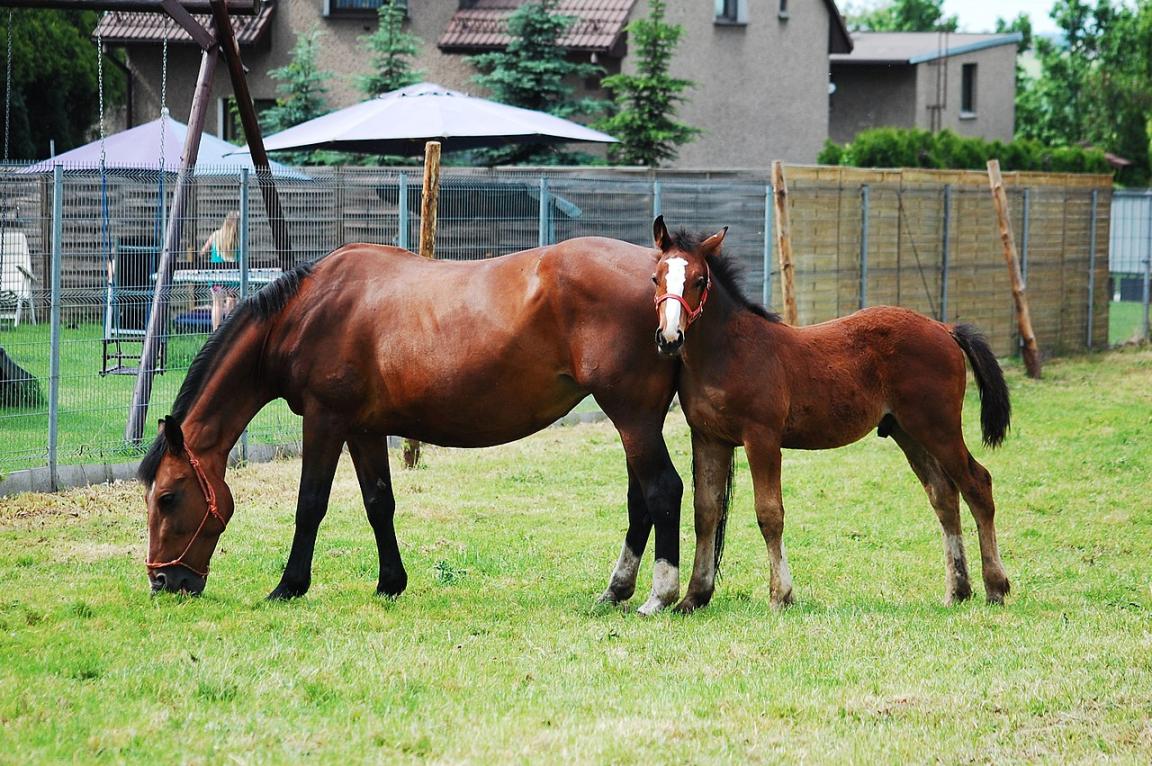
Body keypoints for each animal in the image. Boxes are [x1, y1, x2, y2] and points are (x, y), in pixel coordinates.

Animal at [140, 238, 686, 615]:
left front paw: (289, 586)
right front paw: (390, 583)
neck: (308, 311)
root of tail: (665, 280)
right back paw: (615, 591)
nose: (163, 583)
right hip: (638, 421)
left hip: (632, 416)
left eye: (167, 497)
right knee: (640, 500)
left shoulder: (325, 420)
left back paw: (661, 596)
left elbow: (310, 505)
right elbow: (379, 503)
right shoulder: (362, 429)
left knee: (663, 490)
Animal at [648, 216, 1012, 611]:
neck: (728, 352)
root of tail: (944, 329)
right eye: (656, 277)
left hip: (938, 427)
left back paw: (996, 586)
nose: (670, 337)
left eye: (699, 280)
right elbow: (706, 513)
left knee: (977, 483)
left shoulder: (762, 437)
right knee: (943, 495)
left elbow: (769, 513)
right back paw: (958, 589)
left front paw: (781, 595)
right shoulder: (708, 438)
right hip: (908, 431)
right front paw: (693, 597)